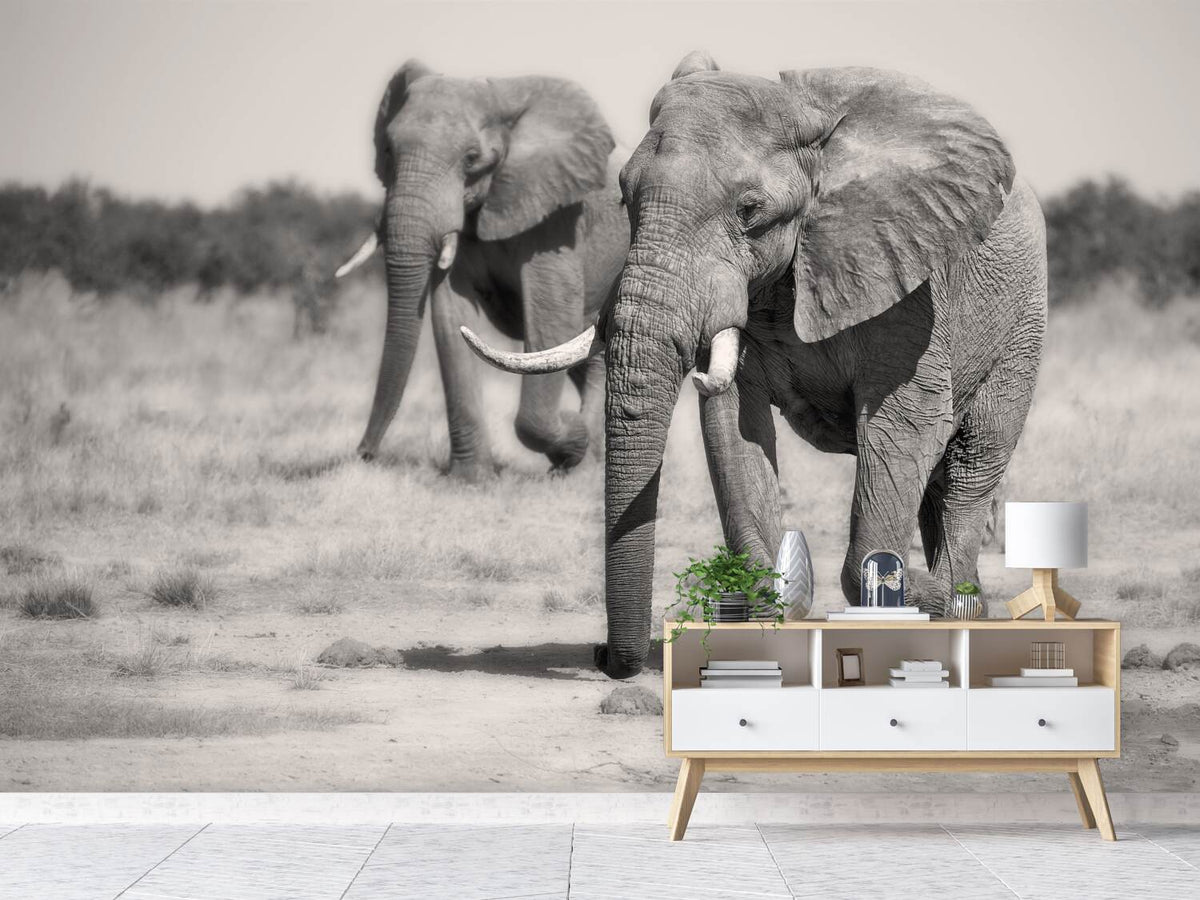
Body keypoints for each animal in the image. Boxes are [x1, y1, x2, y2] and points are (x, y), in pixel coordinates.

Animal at [337, 60, 629, 478]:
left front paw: (574, 438)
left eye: (472, 158)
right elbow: (450, 317)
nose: (364, 453)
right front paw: (469, 479)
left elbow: (551, 313)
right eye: (389, 150)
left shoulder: (557, 217)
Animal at [466, 53, 1047, 678]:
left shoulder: (910, 289)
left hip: (1021, 324)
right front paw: (773, 613)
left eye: (750, 211)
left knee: (970, 462)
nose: (603, 656)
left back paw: (961, 601)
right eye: (624, 200)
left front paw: (905, 595)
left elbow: (901, 428)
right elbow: (734, 427)